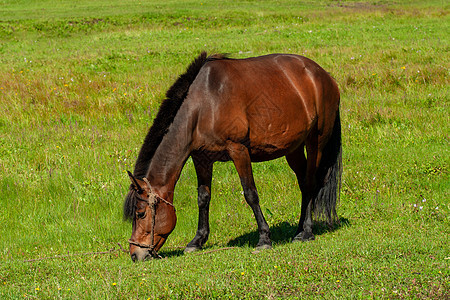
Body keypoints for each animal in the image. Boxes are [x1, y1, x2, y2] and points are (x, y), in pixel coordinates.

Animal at [123, 52, 342, 262]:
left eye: (140, 213)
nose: (135, 254)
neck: (205, 104)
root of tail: (324, 76)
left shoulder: (239, 151)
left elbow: (250, 194)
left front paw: (264, 239)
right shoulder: (201, 158)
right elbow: (203, 198)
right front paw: (197, 241)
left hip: (316, 142)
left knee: (311, 182)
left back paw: (307, 232)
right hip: (293, 149)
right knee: (304, 183)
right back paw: (298, 230)